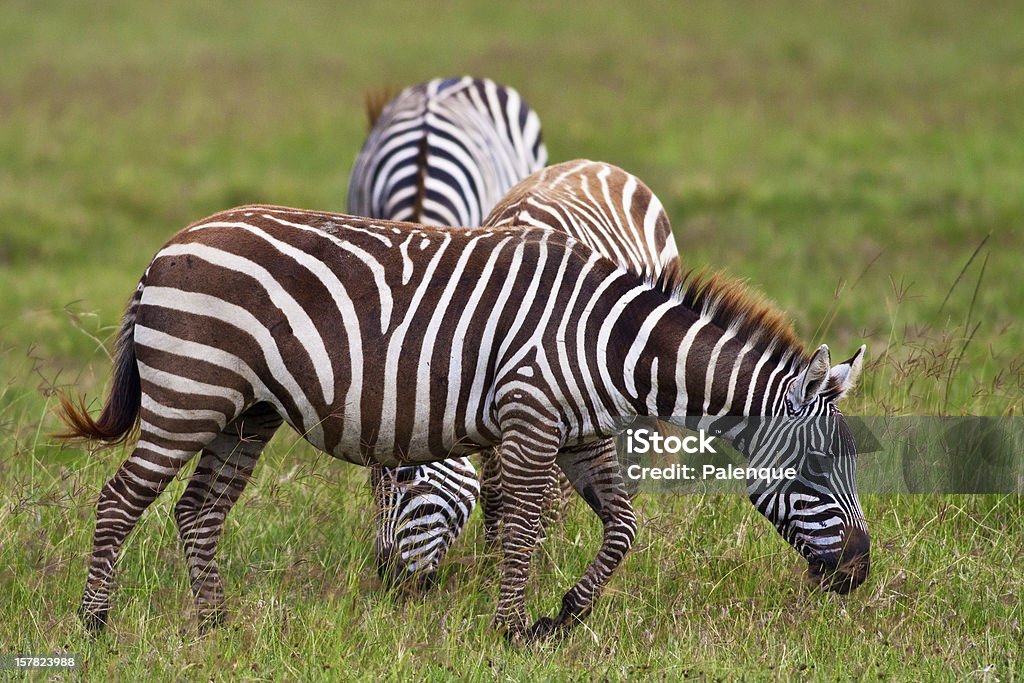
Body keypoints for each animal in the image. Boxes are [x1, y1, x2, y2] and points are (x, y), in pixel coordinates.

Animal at [59, 202, 868, 643]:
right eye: (815, 470)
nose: (860, 573)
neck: (615, 346)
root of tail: (169, 246)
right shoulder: (532, 417)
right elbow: (523, 525)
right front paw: (511, 628)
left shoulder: (584, 435)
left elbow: (623, 527)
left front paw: (562, 617)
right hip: (189, 393)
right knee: (120, 500)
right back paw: (96, 623)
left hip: (245, 412)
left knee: (199, 511)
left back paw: (217, 627)